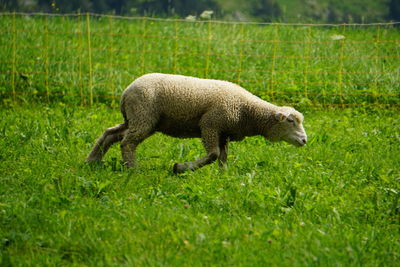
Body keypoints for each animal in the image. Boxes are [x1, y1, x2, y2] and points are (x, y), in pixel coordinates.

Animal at [86, 73, 306, 174]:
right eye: (290, 120)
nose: (305, 140)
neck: (247, 111)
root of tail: (126, 91)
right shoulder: (210, 125)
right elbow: (213, 155)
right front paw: (180, 168)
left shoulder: (223, 133)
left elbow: (223, 157)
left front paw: (224, 175)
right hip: (143, 116)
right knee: (127, 143)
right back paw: (132, 169)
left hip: (136, 118)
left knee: (110, 134)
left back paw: (92, 160)